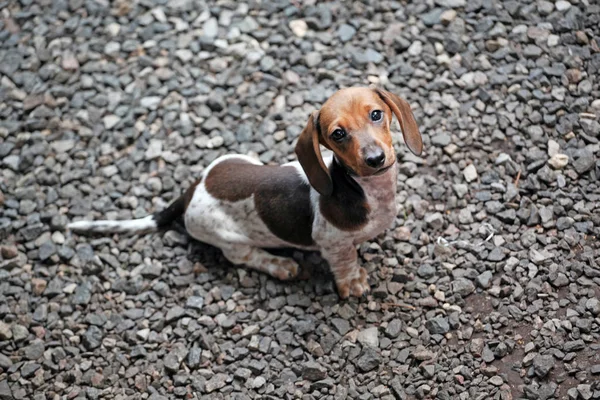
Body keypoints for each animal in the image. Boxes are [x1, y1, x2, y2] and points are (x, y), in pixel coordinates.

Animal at [68, 88, 424, 300]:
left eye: (376, 114)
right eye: (338, 134)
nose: (375, 159)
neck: (368, 190)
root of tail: (191, 192)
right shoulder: (332, 243)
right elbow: (346, 261)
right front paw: (353, 282)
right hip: (226, 236)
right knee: (242, 257)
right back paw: (280, 265)